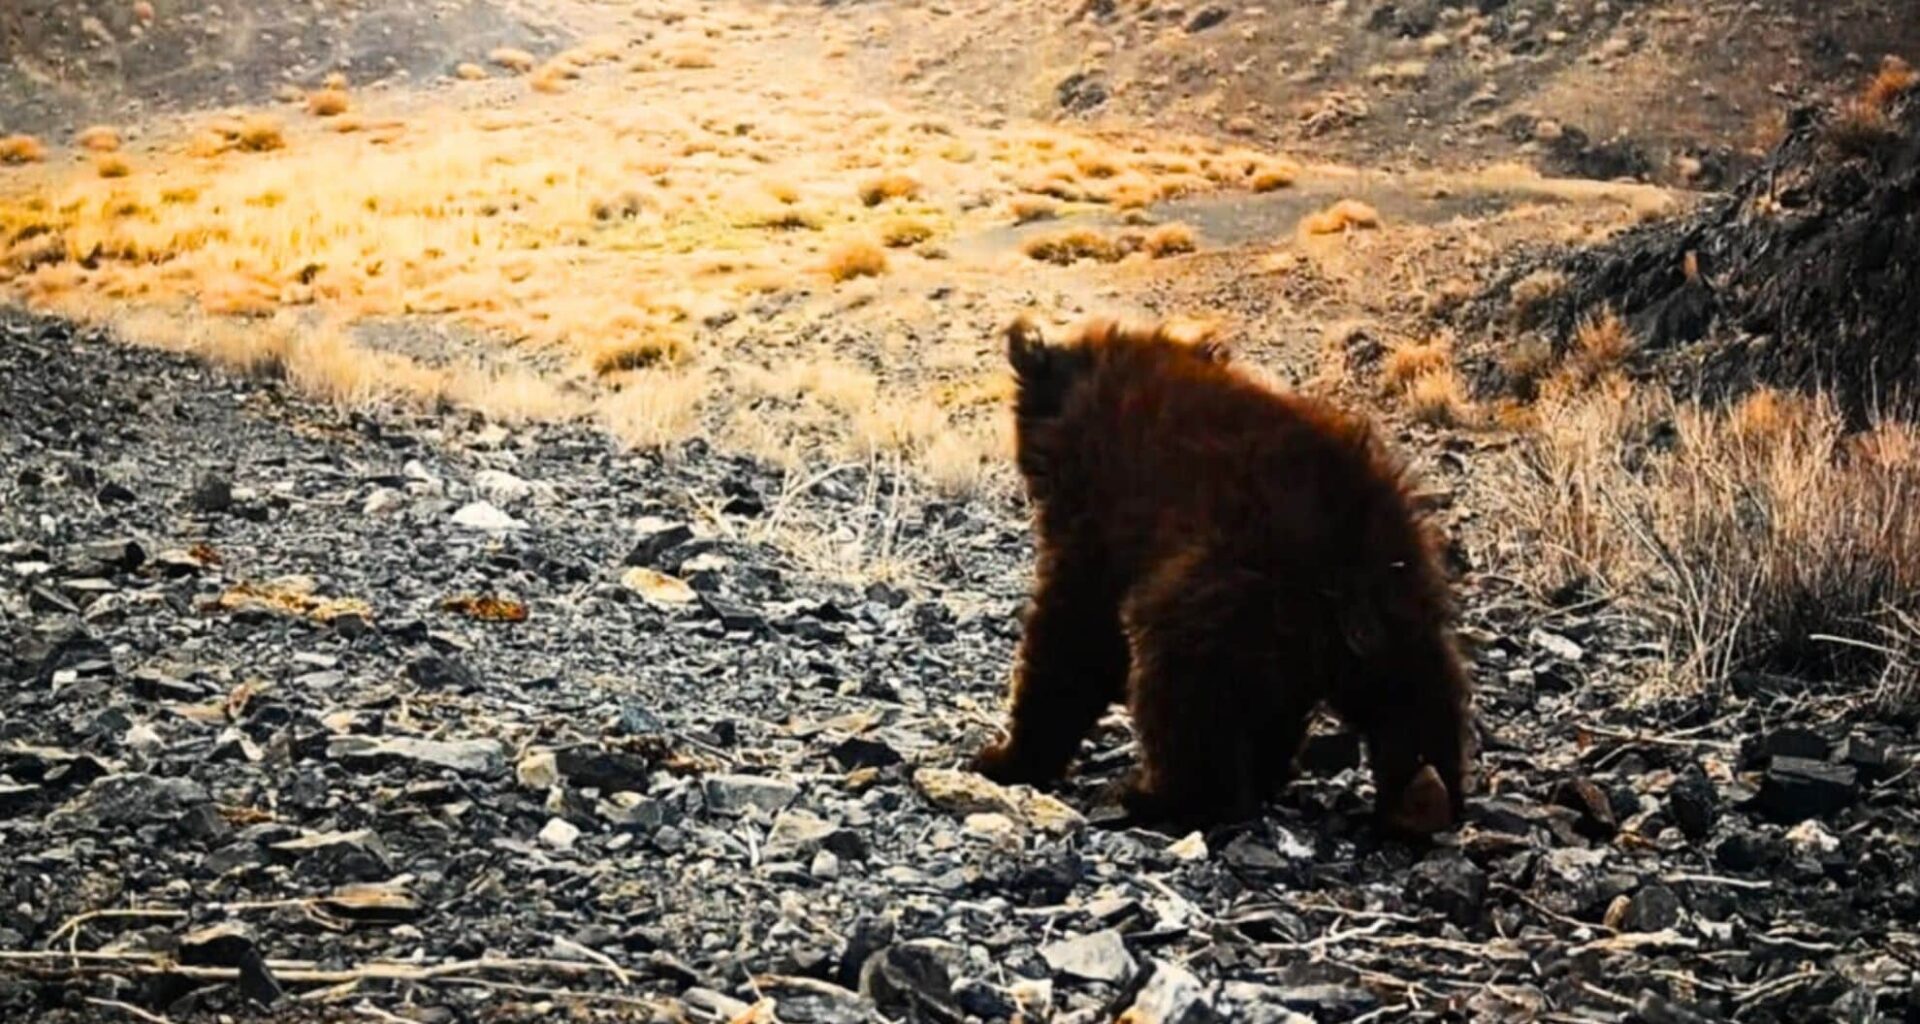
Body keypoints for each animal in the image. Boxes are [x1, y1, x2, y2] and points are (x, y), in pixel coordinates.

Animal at [969, 315, 1473, 834]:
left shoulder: (1106, 514)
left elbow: (1075, 630)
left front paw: (1006, 757)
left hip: (1225, 583)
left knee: (1184, 683)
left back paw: (1158, 798)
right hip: (1394, 598)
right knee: (1413, 691)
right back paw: (1420, 796)